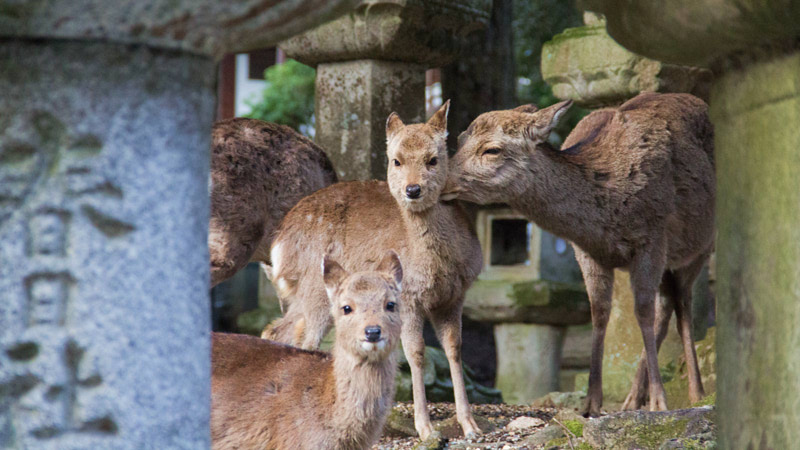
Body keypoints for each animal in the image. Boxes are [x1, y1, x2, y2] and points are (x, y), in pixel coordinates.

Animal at [261, 101, 484, 440]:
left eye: (433, 159)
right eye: (396, 160)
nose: (413, 189)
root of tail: (279, 245)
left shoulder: (454, 297)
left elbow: (455, 350)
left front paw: (470, 425)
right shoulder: (409, 297)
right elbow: (416, 353)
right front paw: (425, 429)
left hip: (304, 295)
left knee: (279, 330)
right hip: (316, 290)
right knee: (304, 339)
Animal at [443, 92, 715, 417]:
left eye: (492, 149)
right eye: (459, 139)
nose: (439, 182)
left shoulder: (653, 237)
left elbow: (642, 312)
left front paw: (659, 401)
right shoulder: (587, 251)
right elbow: (599, 312)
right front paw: (591, 401)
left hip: (700, 243)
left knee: (683, 302)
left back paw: (696, 392)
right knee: (669, 301)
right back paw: (632, 398)